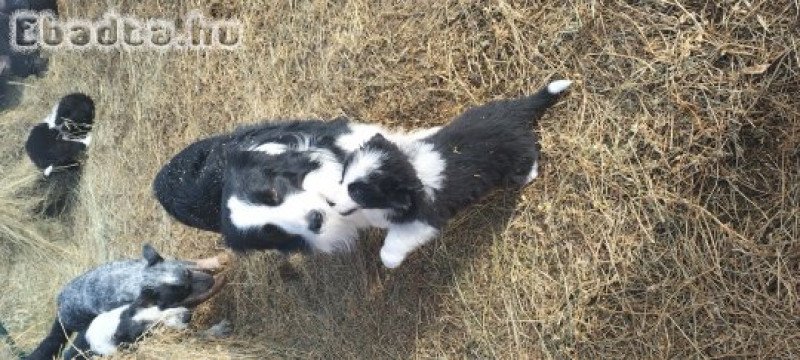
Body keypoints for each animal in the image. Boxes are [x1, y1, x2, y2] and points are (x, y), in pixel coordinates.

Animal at [26, 245, 227, 360]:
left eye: (188, 274)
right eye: (180, 294)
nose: (211, 280)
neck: (137, 277)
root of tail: (60, 306)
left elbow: (193, 262)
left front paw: (218, 260)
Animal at [328, 80, 572, 268]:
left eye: (358, 192)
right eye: (343, 177)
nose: (329, 203)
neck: (409, 167)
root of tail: (514, 111)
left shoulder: (426, 218)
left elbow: (396, 239)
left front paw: (389, 260)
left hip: (516, 155)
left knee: (529, 156)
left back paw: (528, 175)